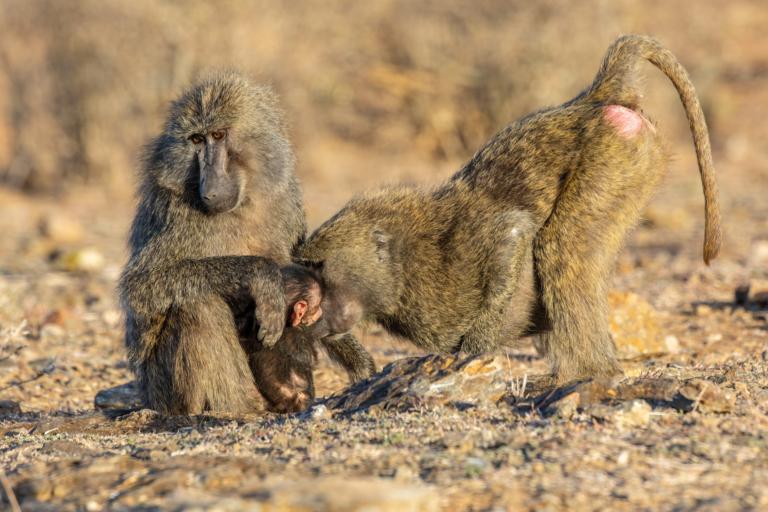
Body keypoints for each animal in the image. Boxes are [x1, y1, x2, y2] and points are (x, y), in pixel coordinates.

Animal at [118, 69, 309, 416]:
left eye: (218, 136)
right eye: (196, 140)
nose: (210, 189)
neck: (244, 203)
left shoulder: (288, 196)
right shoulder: (178, 216)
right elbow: (140, 286)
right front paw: (261, 275)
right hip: (165, 394)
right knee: (196, 304)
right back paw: (245, 406)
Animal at [296, 34, 721, 385]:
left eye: (318, 267)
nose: (304, 315)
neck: (403, 263)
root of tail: (590, 99)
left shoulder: (465, 249)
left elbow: (513, 228)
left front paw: (474, 352)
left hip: (615, 158)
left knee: (561, 250)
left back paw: (590, 374)